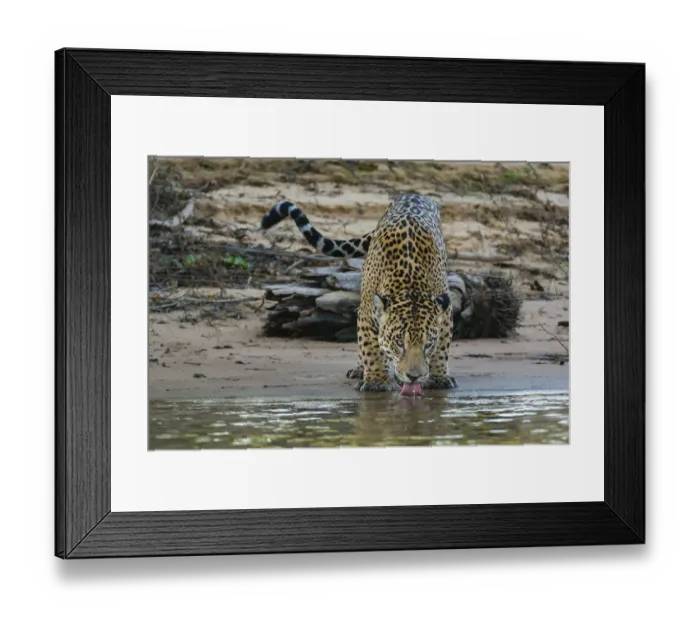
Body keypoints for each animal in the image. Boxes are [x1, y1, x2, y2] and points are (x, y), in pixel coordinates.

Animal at [261, 194, 458, 395]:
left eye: (428, 344)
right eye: (399, 343)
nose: (414, 377)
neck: (411, 285)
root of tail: (413, 194)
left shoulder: (445, 311)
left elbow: (442, 347)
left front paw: (437, 377)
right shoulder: (366, 314)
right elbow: (370, 349)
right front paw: (376, 381)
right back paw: (361, 369)